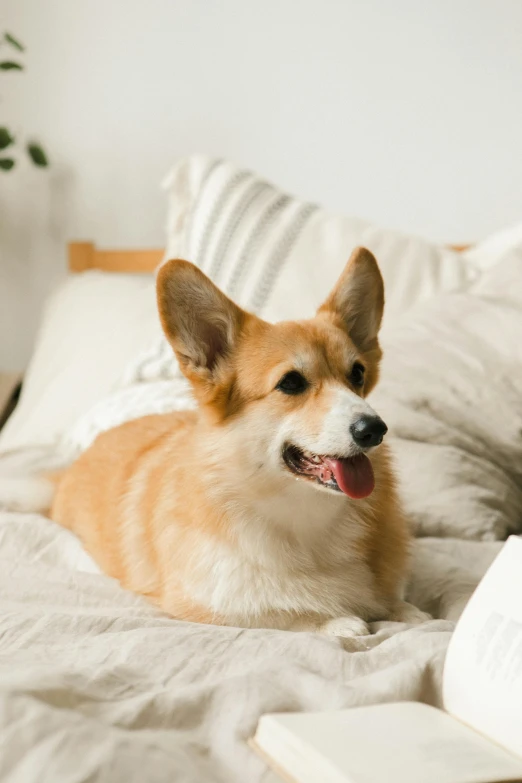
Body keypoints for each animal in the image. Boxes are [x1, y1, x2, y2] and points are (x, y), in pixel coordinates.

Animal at [51, 248, 426, 640]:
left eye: (358, 374)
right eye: (291, 383)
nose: (374, 429)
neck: (305, 517)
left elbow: (404, 606)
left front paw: (405, 612)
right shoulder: (201, 604)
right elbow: (277, 613)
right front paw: (338, 621)